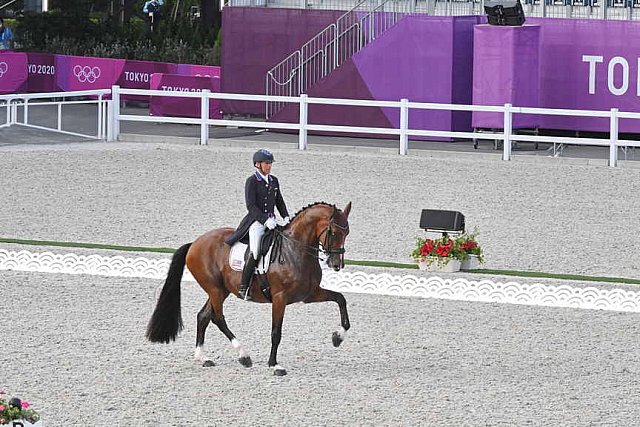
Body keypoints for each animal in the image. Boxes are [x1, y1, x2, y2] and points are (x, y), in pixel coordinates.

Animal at [146, 202, 350, 376]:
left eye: (347, 232)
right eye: (332, 232)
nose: (336, 264)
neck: (295, 250)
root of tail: (194, 244)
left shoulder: (309, 294)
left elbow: (340, 299)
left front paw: (337, 337)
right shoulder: (280, 298)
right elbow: (276, 332)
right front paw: (274, 365)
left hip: (221, 290)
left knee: (203, 316)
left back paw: (203, 358)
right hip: (215, 290)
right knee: (217, 318)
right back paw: (244, 356)